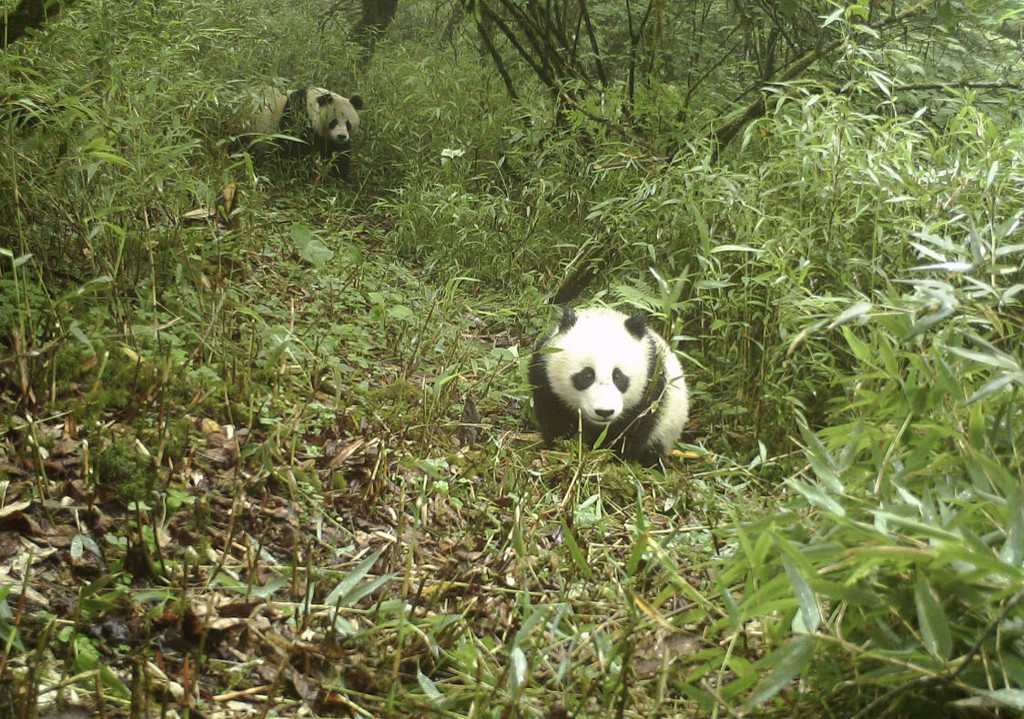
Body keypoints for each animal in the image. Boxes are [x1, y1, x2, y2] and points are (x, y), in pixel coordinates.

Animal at [528, 305, 688, 467]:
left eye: (618, 376)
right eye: (587, 375)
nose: (604, 412)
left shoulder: (652, 382)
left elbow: (634, 428)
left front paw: (611, 455)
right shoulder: (544, 368)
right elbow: (551, 408)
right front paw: (562, 438)